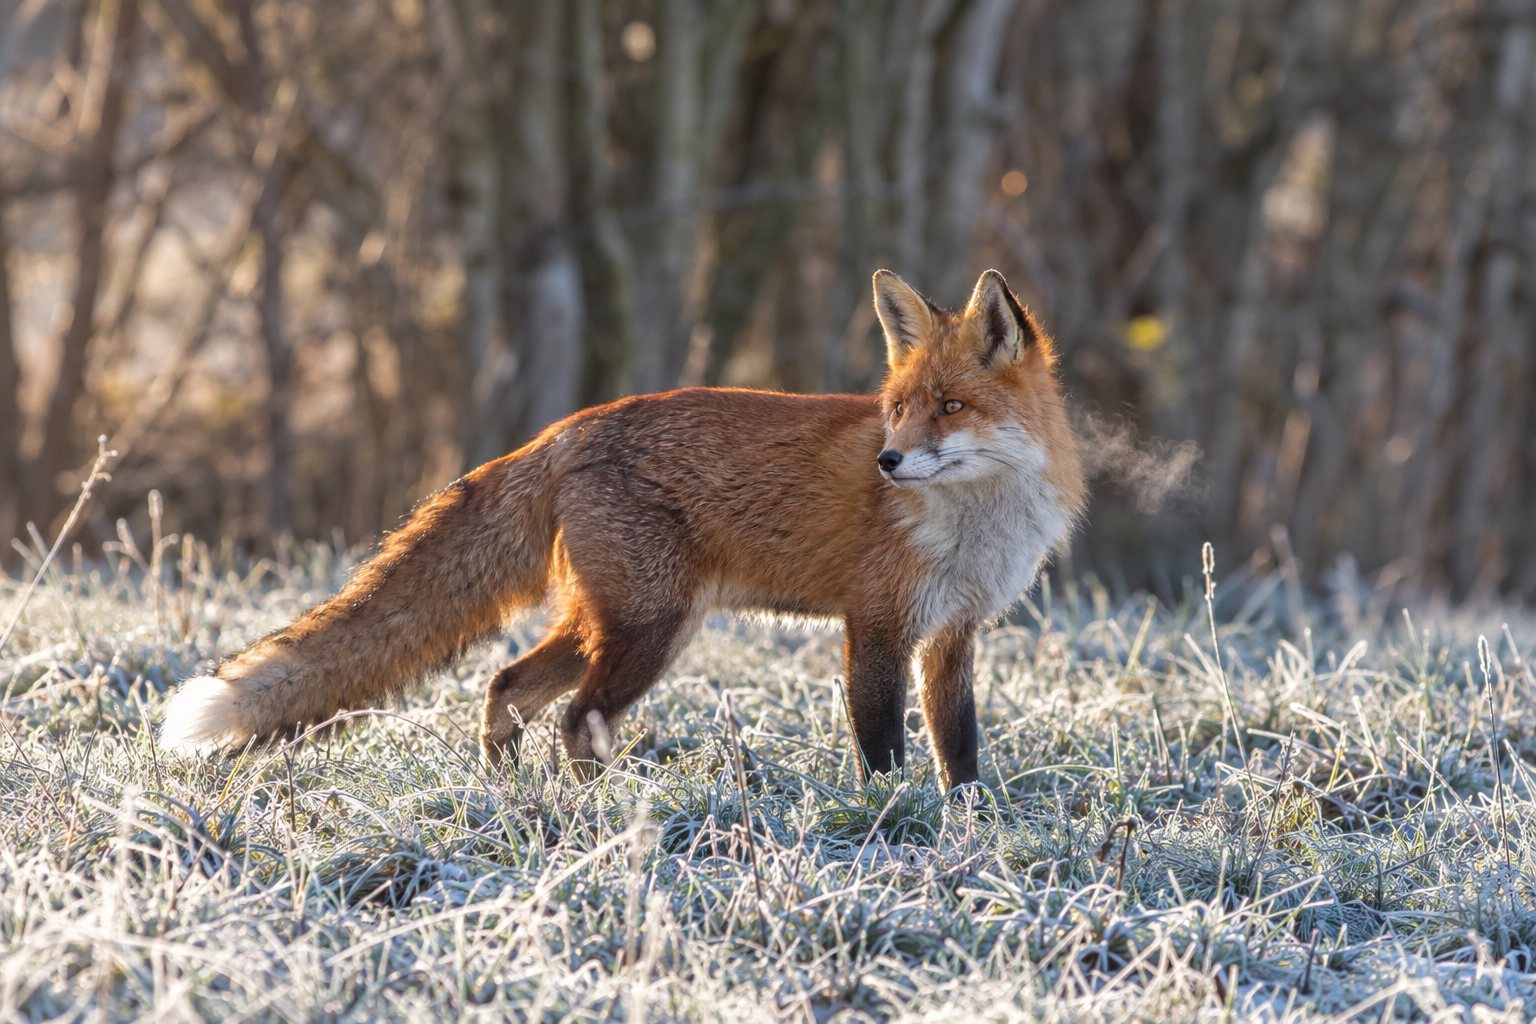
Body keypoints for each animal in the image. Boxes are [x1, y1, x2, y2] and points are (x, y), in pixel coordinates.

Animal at [160, 269, 1086, 791]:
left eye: (951, 408)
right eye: (898, 410)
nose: (890, 462)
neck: (976, 524)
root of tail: (568, 428)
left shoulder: (954, 633)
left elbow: (960, 751)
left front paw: (970, 830)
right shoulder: (878, 623)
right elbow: (884, 749)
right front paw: (893, 831)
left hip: (611, 623)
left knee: (507, 688)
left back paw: (513, 798)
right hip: (651, 629)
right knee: (576, 718)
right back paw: (597, 815)